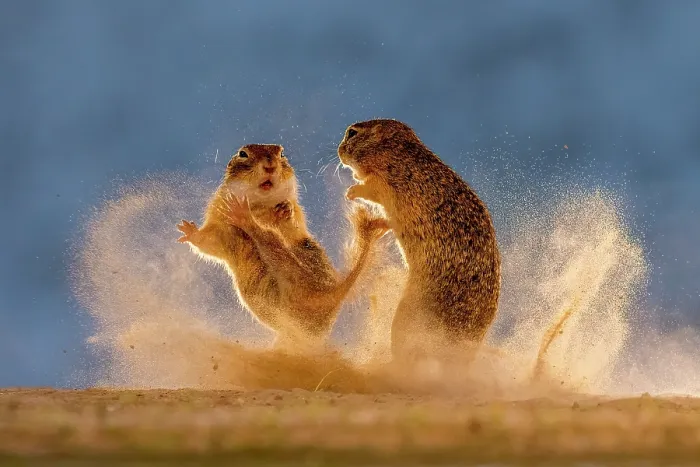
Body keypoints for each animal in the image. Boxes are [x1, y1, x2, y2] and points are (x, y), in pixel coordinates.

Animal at [177, 144, 387, 351]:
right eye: (243, 154)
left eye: (282, 153)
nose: (270, 166)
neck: (257, 205)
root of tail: (335, 293)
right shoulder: (220, 227)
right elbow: (208, 243)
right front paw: (188, 230)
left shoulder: (295, 217)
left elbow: (293, 220)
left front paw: (284, 210)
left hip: (296, 273)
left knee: (267, 237)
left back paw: (243, 215)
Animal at [337, 119, 501, 360]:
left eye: (352, 133)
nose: (339, 151)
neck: (393, 149)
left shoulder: (382, 183)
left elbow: (367, 188)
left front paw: (350, 192)